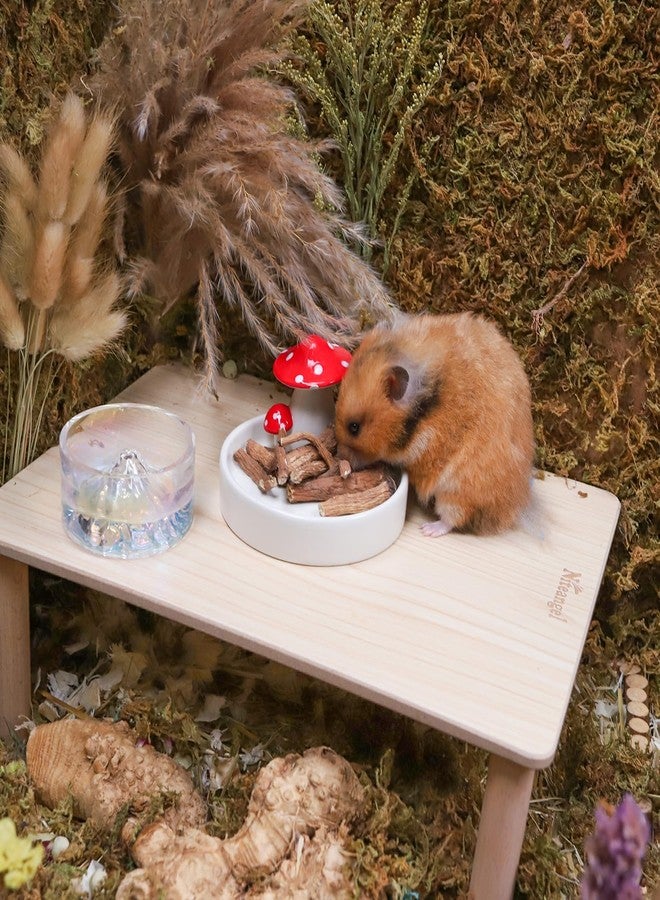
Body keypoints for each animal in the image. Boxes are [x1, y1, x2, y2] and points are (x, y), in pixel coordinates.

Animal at [334, 312, 535, 536]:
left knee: (453, 518)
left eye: (354, 427)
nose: (339, 459)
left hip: (457, 491)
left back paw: (428, 529)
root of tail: (513, 508)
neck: (425, 410)